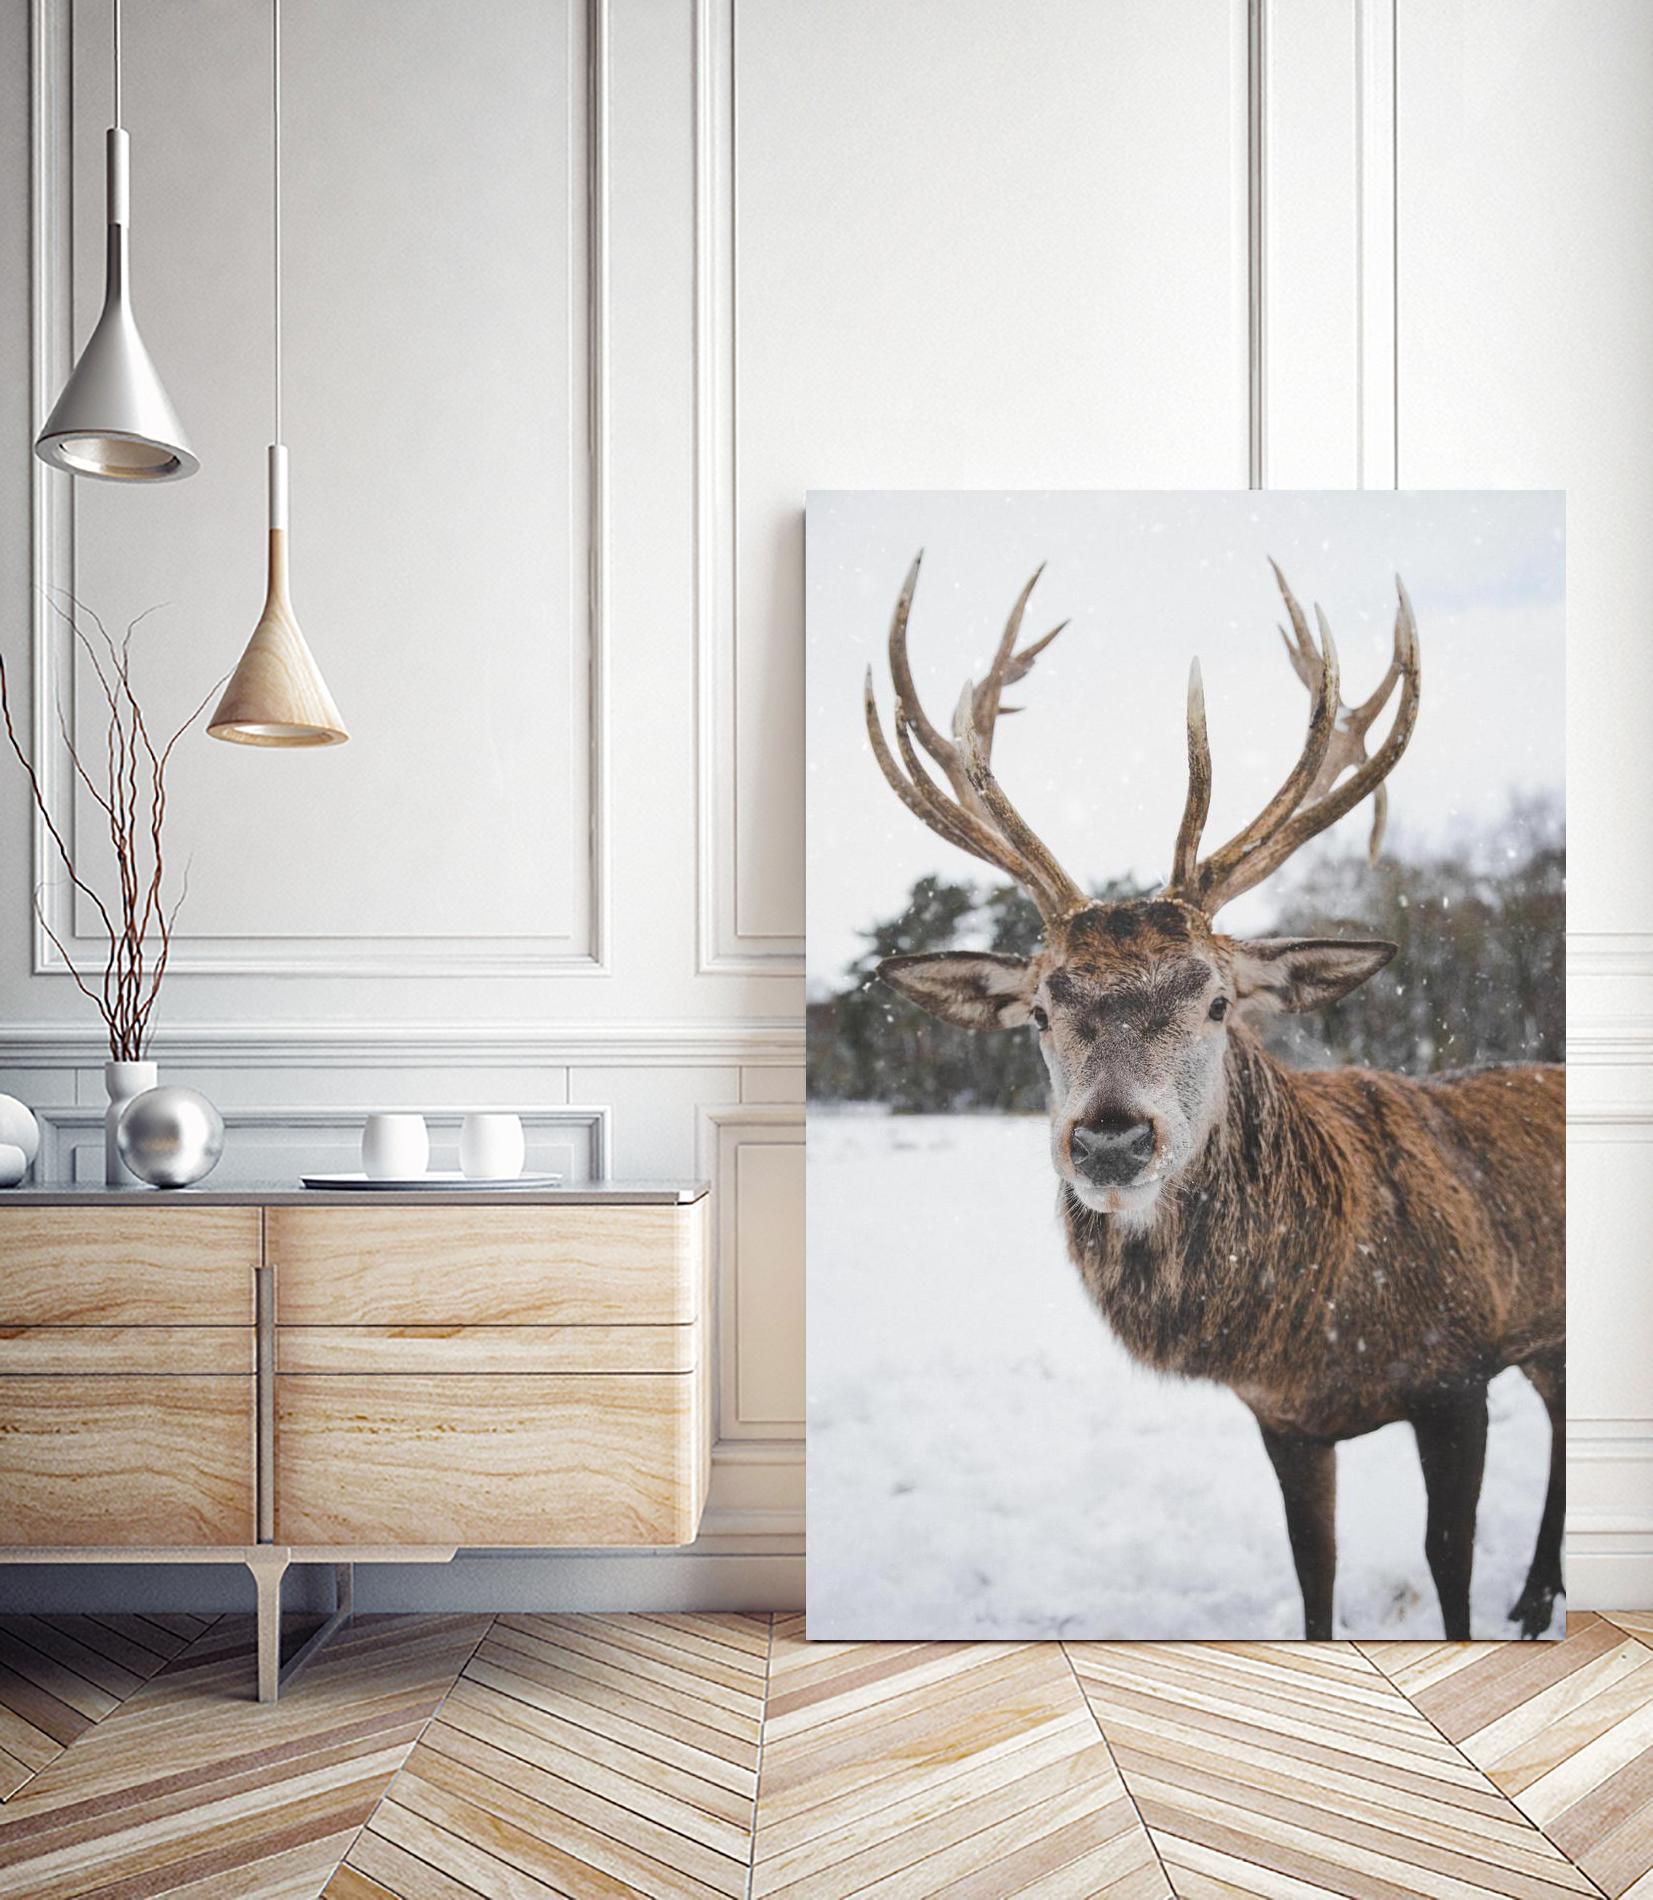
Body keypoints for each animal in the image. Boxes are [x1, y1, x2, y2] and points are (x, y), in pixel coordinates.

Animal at [862, 553, 1565, 1641]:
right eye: (1039, 1008)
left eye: (1218, 999)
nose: (1110, 1141)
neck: (1322, 1324)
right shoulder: (1282, 1417)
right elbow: (1314, 1572)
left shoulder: (1458, 1371)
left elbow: (1447, 1568)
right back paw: (1536, 1592)